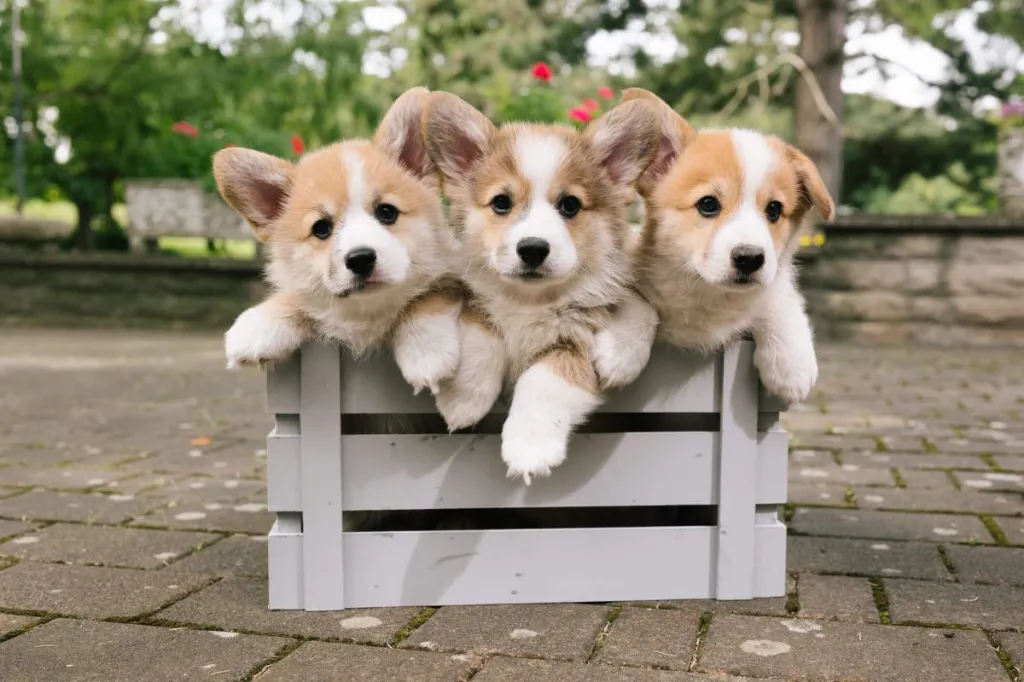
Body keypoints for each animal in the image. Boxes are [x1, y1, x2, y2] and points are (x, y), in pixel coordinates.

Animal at [216, 89, 460, 393]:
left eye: (387, 212)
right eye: (321, 228)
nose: (361, 259)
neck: (369, 315)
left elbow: (429, 295)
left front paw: (426, 349)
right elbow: (296, 298)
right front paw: (258, 326)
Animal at [419, 91, 659, 483]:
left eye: (570, 205)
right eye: (501, 202)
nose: (532, 249)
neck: (529, 302)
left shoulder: (574, 340)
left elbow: (544, 383)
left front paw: (529, 449)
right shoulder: (479, 301)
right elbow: (481, 336)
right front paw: (464, 398)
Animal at [618, 87, 835, 401]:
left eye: (774, 210)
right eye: (708, 204)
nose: (750, 258)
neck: (709, 295)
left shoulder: (772, 288)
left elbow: (780, 299)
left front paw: (791, 366)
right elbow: (634, 300)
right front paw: (621, 350)